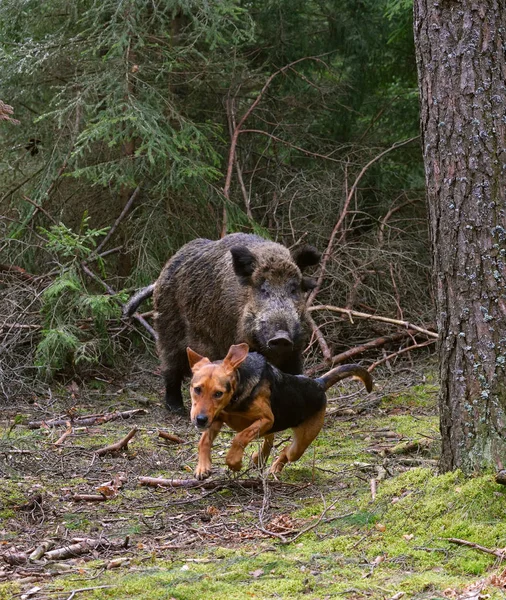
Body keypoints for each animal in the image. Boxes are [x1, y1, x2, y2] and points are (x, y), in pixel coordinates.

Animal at [186, 344, 372, 480]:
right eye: (197, 389)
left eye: (218, 393)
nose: (200, 420)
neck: (235, 397)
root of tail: (318, 384)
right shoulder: (216, 419)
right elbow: (203, 441)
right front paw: (202, 467)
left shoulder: (267, 419)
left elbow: (240, 437)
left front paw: (234, 462)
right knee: (270, 440)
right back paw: (259, 458)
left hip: (300, 442)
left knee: (286, 452)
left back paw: (274, 466)